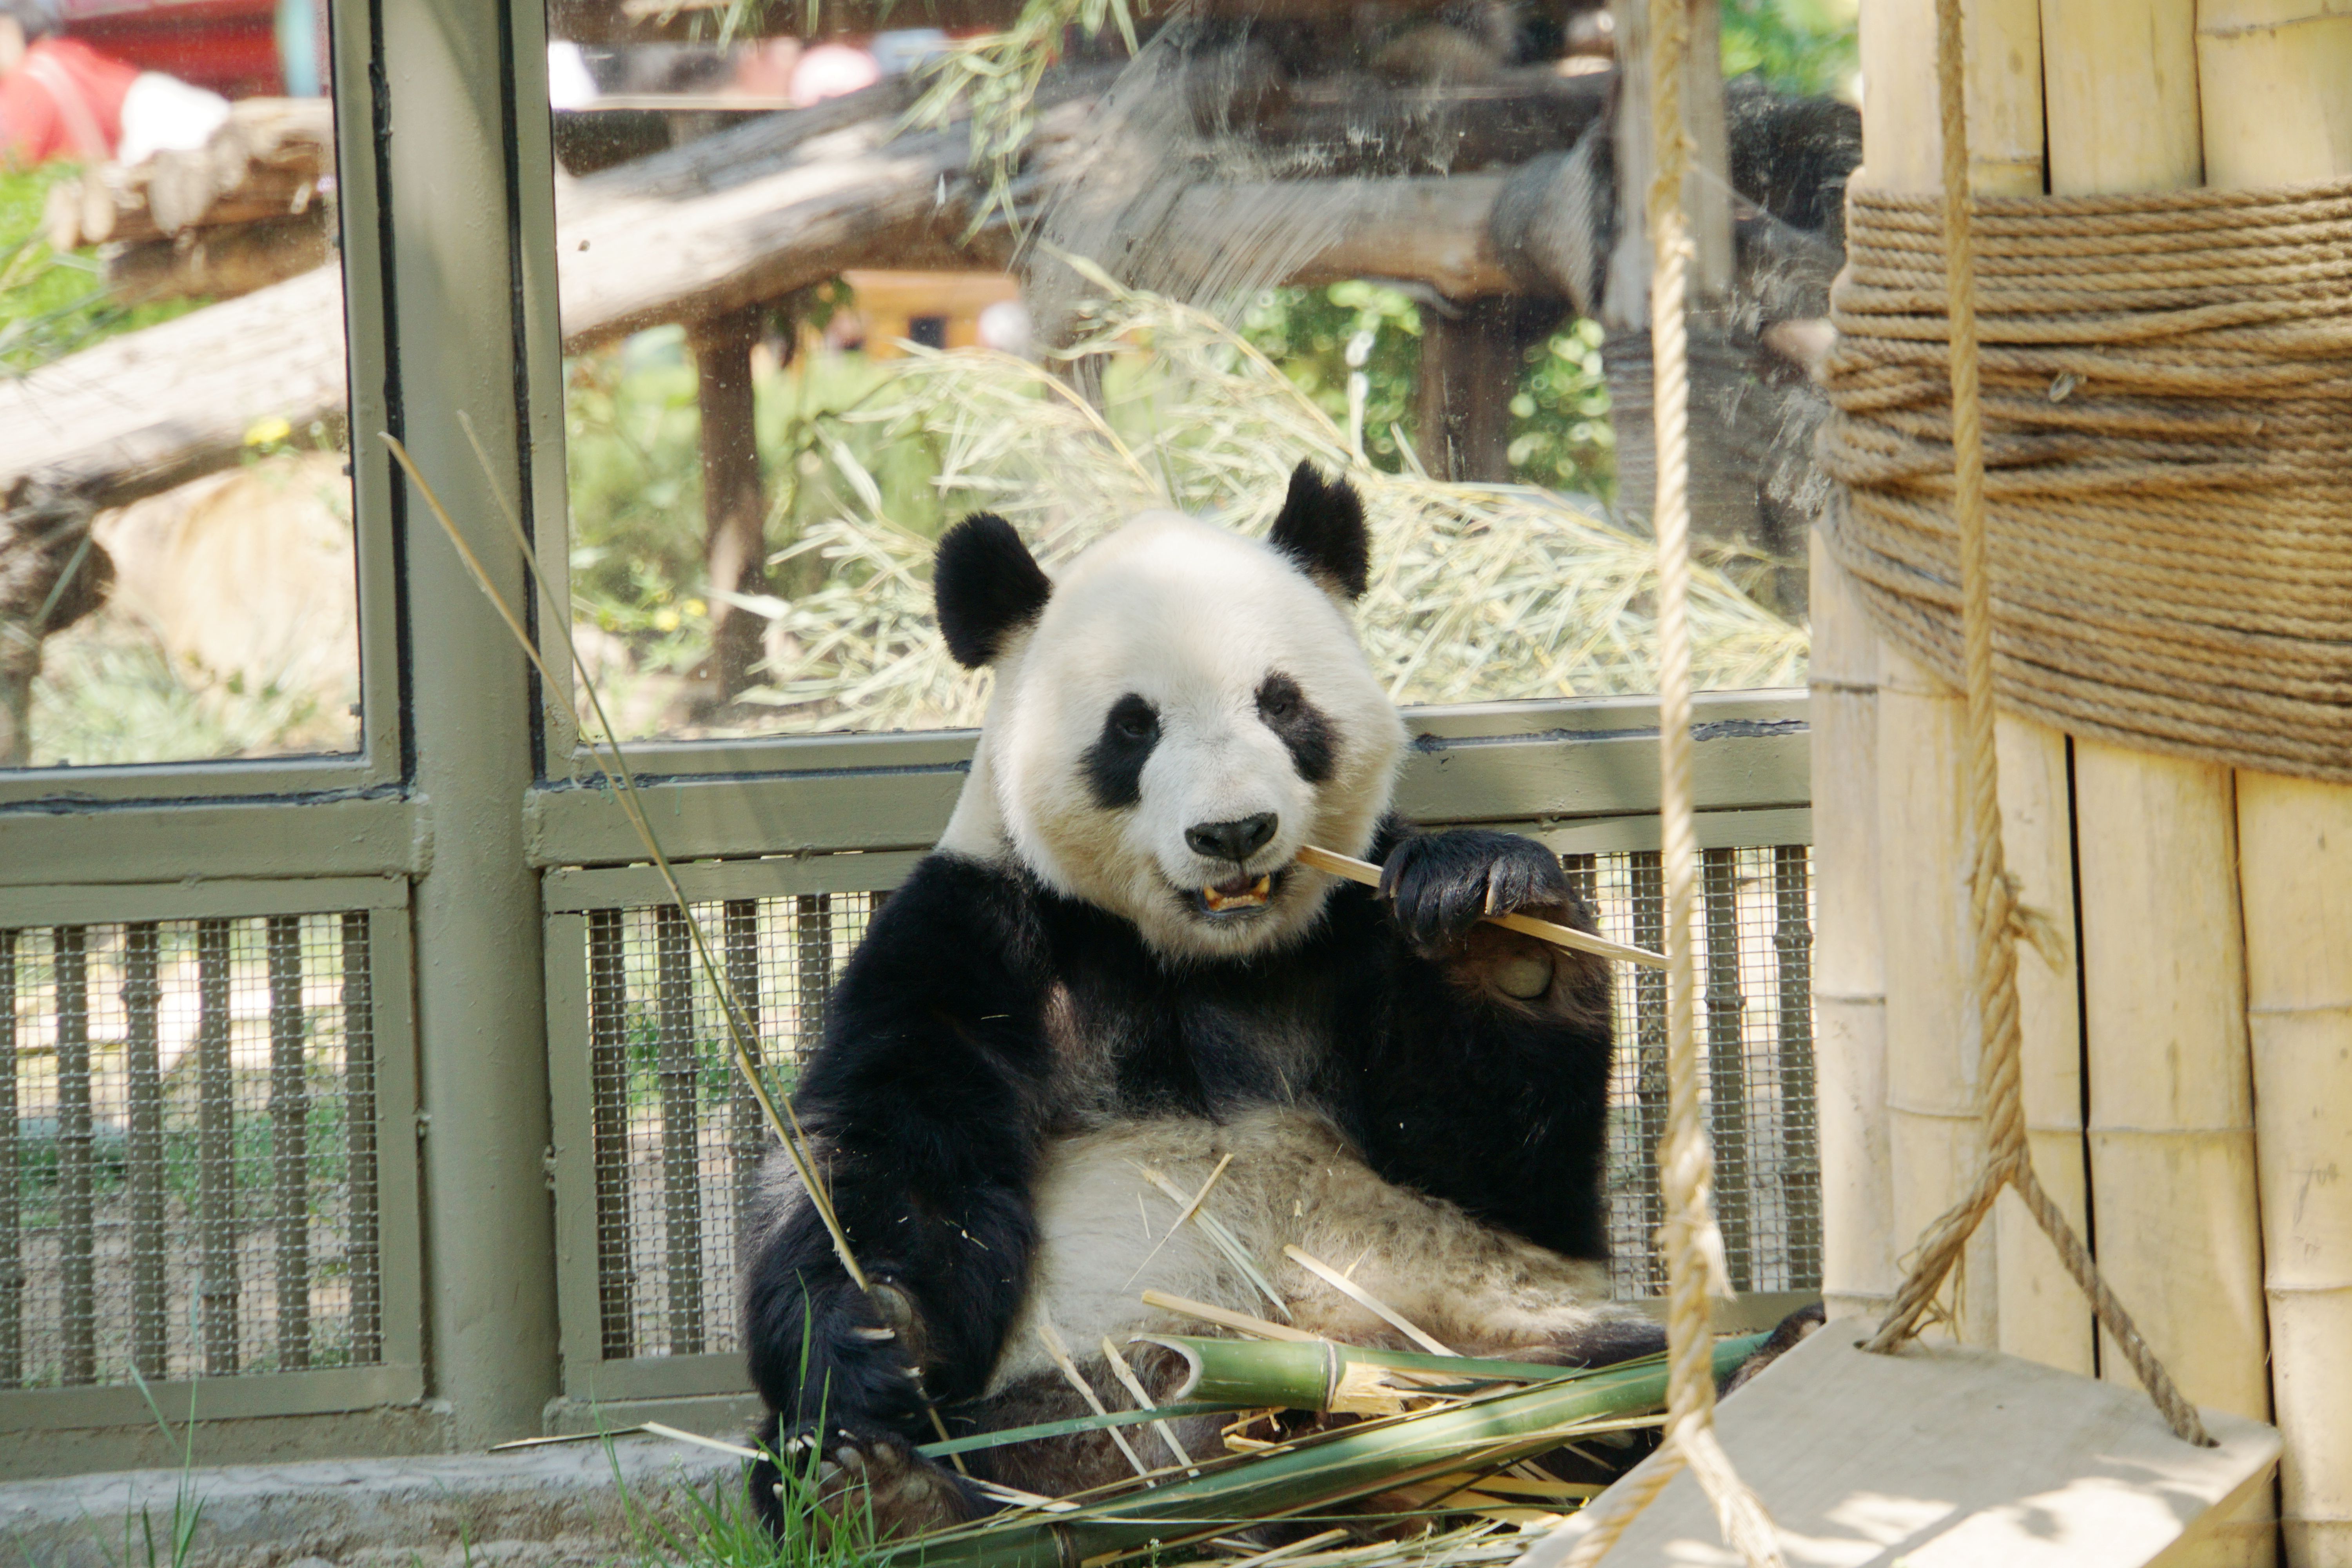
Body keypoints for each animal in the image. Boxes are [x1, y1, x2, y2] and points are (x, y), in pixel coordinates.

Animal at [743, 465, 1684, 1542]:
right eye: (1131, 726)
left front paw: (1493, 928)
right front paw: (877, 1331)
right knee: (968, 1446)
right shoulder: (981, 932)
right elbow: (885, 1150)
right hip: (1100, 1375)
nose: (1234, 830)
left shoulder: (1356, 928)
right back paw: (892, 1497)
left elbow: (1502, 1177)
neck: (1204, 957)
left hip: (1471, 1325)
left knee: (1618, 1376)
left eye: (1282, 704)